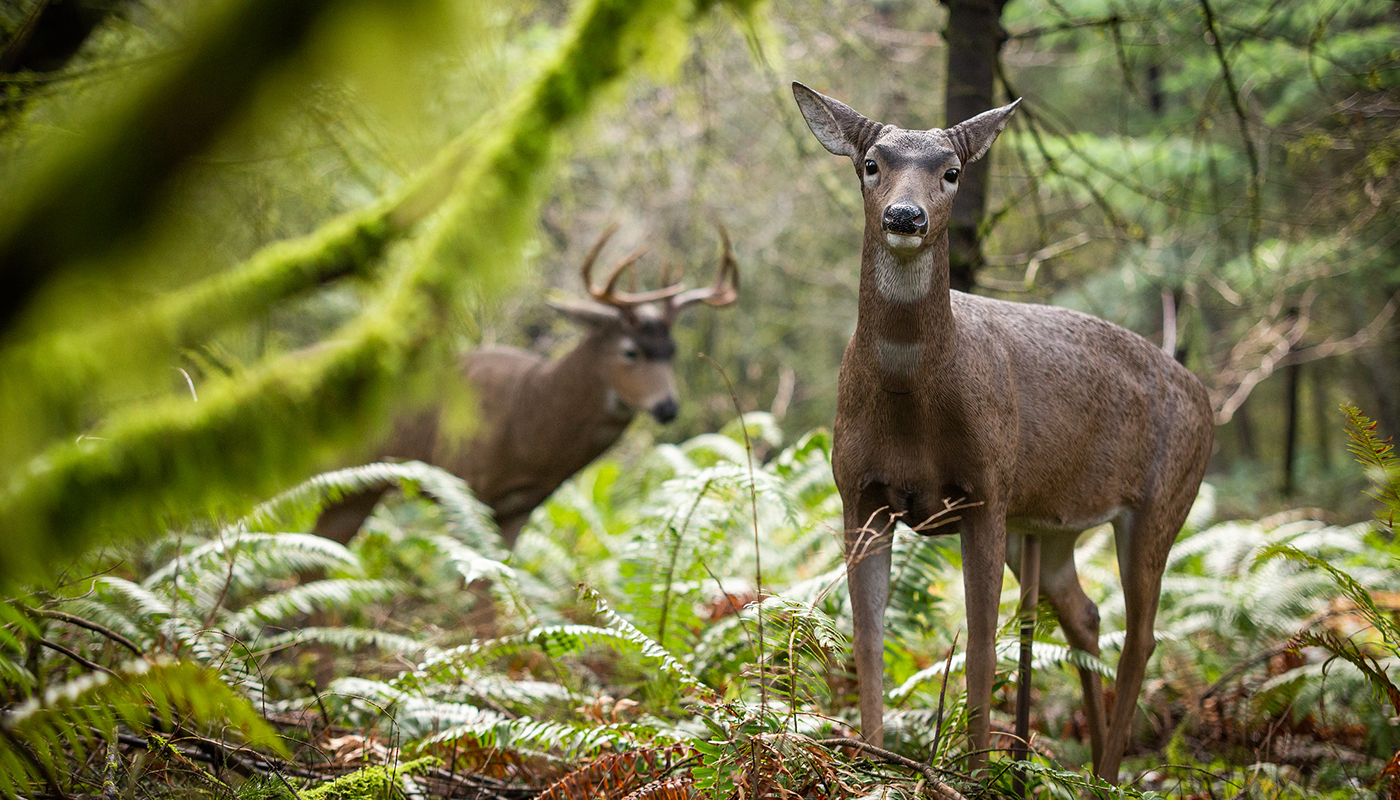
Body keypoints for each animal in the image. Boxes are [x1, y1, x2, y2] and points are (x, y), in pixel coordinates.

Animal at [310, 226, 739, 552]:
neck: (526, 424)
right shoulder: (465, 489)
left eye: (673, 351)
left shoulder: (520, 508)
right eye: (630, 350)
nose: (667, 407)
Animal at [795, 84, 1220, 784]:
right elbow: (868, 640)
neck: (912, 403)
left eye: (952, 171)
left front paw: (971, 771)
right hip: (1049, 526)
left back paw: (1105, 774)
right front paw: (874, 761)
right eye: (871, 164)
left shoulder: (986, 489)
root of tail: (1206, 398)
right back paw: (1079, 766)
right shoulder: (859, 493)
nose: (906, 216)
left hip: (1163, 501)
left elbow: (981, 645)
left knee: (1142, 634)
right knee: (1083, 613)